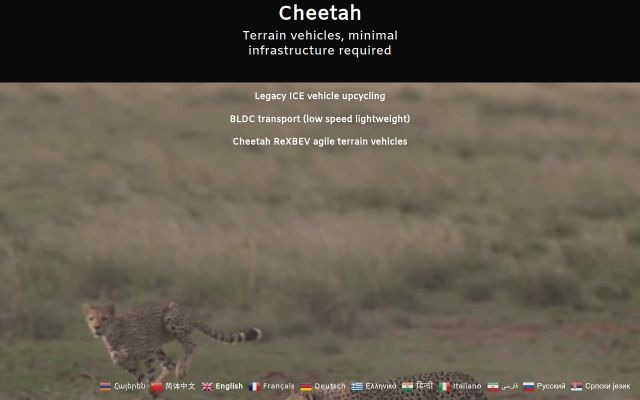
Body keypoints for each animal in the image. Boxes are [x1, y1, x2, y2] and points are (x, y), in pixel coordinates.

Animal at [82, 302, 262, 393]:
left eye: (104, 318)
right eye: (91, 318)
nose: (96, 328)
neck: (113, 334)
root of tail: (188, 309)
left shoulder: (147, 352)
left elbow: (149, 375)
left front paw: (150, 392)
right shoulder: (126, 363)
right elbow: (142, 378)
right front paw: (149, 391)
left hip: (171, 322)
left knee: (190, 346)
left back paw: (182, 369)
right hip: (157, 345)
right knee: (169, 364)